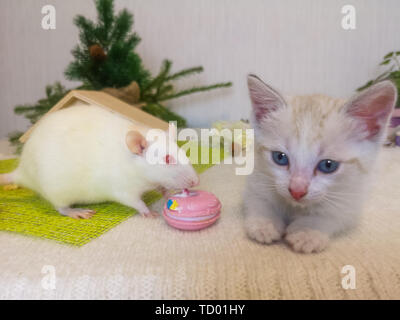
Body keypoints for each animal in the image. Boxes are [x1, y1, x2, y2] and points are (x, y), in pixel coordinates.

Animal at [244, 75, 396, 252]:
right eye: (280, 157)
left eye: (328, 165)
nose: (297, 191)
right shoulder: (256, 177)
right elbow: (258, 199)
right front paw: (264, 223)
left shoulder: (352, 200)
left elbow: (334, 214)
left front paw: (307, 232)